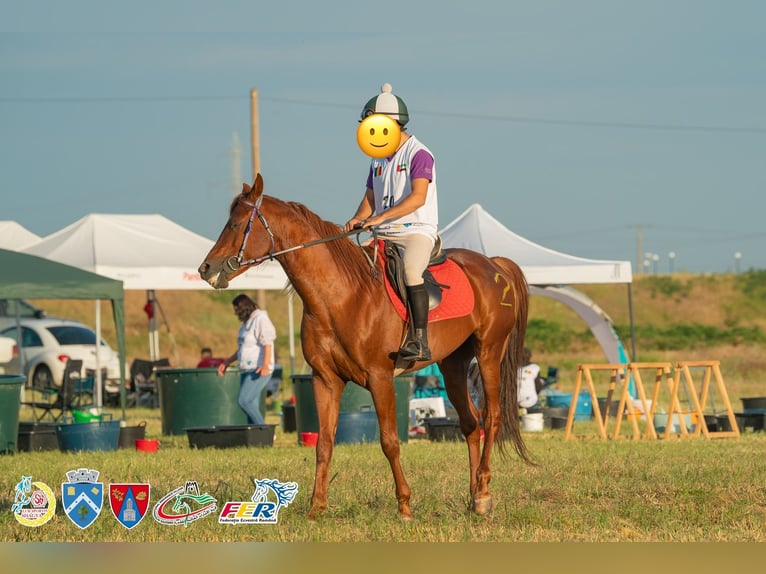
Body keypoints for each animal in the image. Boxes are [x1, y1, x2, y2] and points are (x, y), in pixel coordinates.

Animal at [199, 173, 532, 520]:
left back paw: (483, 492)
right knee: (470, 423)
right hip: (453, 363)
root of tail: (494, 265)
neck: (341, 297)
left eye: (236, 224)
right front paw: (316, 509)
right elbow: (324, 443)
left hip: (488, 353)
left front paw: (404, 506)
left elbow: (389, 441)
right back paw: (474, 496)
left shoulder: (380, 378)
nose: (206, 269)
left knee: (491, 417)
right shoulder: (325, 380)